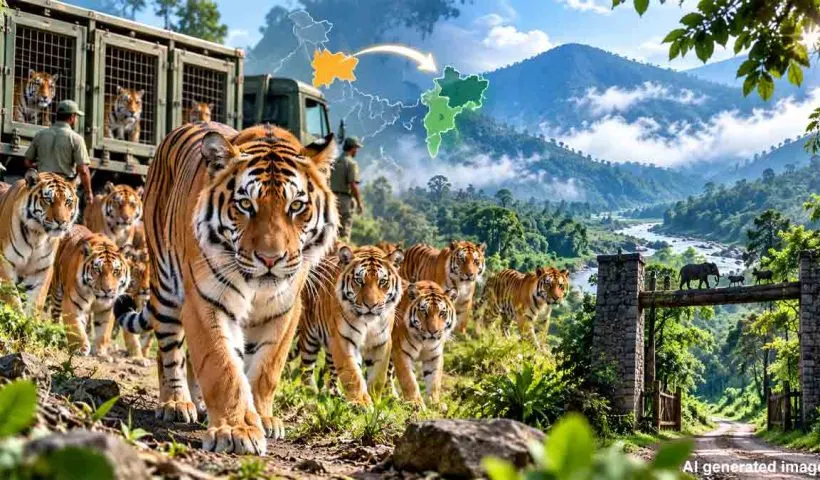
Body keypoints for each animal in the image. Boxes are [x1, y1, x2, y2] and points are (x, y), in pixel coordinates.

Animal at [0, 169, 78, 312]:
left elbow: (35, 303)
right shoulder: (5, 263)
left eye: (68, 201)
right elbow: (13, 302)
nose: (62, 221)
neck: (37, 236)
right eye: (48, 200)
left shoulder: (42, 270)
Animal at [50, 225, 130, 356]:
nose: (107, 290)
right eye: (97, 270)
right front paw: (81, 348)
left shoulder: (107, 309)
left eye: (116, 271)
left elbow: (103, 332)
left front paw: (100, 351)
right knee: (55, 316)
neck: (94, 297)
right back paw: (53, 332)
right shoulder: (71, 305)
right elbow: (76, 329)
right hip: (57, 291)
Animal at [114, 122, 338, 454]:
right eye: (245, 205)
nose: (270, 259)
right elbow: (223, 366)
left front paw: (263, 419)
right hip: (166, 288)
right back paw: (176, 403)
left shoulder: (285, 310)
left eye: (296, 206)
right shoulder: (206, 301)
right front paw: (236, 431)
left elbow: (265, 369)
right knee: (168, 351)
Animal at [297, 245, 404, 405]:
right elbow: (352, 374)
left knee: (331, 370)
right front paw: (361, 403)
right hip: (309, 338)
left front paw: (374, 399)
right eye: (359, 280)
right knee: (306, 368)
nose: (371, 305)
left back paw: (334, 394)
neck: (369, 324)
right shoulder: (344, 340)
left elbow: (378, 376)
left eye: (382, 282)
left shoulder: (382, 343)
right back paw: (310, 393)